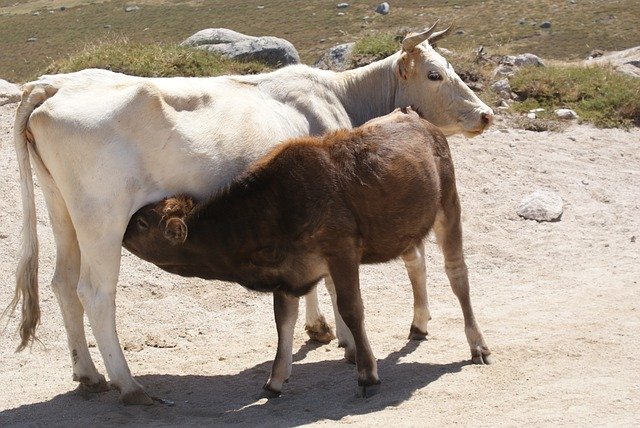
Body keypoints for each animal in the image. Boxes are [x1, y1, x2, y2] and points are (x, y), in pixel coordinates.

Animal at [126, 108, 496, 396]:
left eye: (143, 222)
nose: (123, 228)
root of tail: (417, 118)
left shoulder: (341, 251)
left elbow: (351, 309)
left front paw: (367, 373)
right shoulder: (287, 272)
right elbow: (283, 322)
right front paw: (275, 380)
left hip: (448, 205)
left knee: (456, 273)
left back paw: (477, 344)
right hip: (404, 227)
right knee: (415, 264)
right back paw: (418, 325)